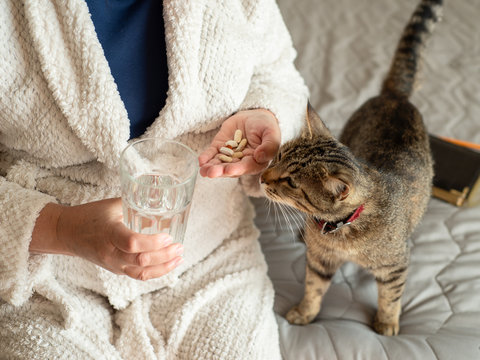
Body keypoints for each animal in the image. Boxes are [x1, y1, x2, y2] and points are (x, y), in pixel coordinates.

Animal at [260, 0, 440, 334]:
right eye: (278, 156)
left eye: (291, 182)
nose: (263, 177)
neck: (339, 229)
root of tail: (395, 96)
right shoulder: (320, 260)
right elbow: (313, 288)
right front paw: (305, 312)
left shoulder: (395, 266)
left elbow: (391, 297)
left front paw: (386, 322)